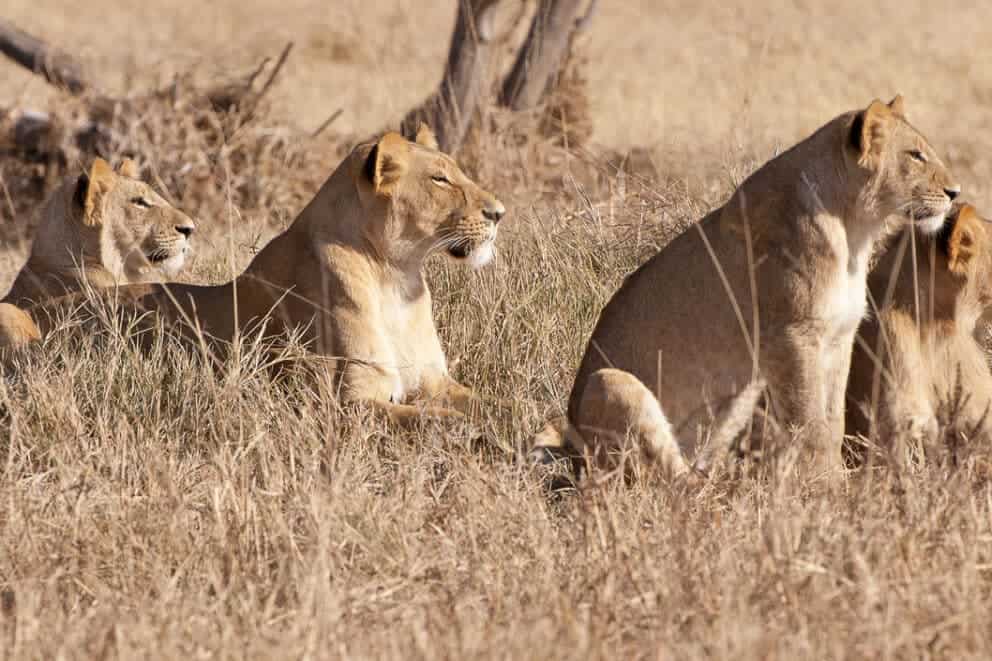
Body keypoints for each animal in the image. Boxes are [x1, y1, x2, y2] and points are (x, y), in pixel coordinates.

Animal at [42, 126, 504, 424]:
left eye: (457, 172)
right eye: (440, 179)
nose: (499, 212)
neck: (396, 276)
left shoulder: (435, 380)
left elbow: (489, 403)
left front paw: (514, 417)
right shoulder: (349, 401)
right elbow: (440, 421)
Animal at [532, 96, 960, 479]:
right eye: (915, 155)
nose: (955, 192)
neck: (854, 231)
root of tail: (573, 457)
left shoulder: (840, 337)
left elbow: (833, 420)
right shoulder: (791, 336)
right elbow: (810, 422)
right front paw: (827, 486)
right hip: (609, 382)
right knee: (665, 481)